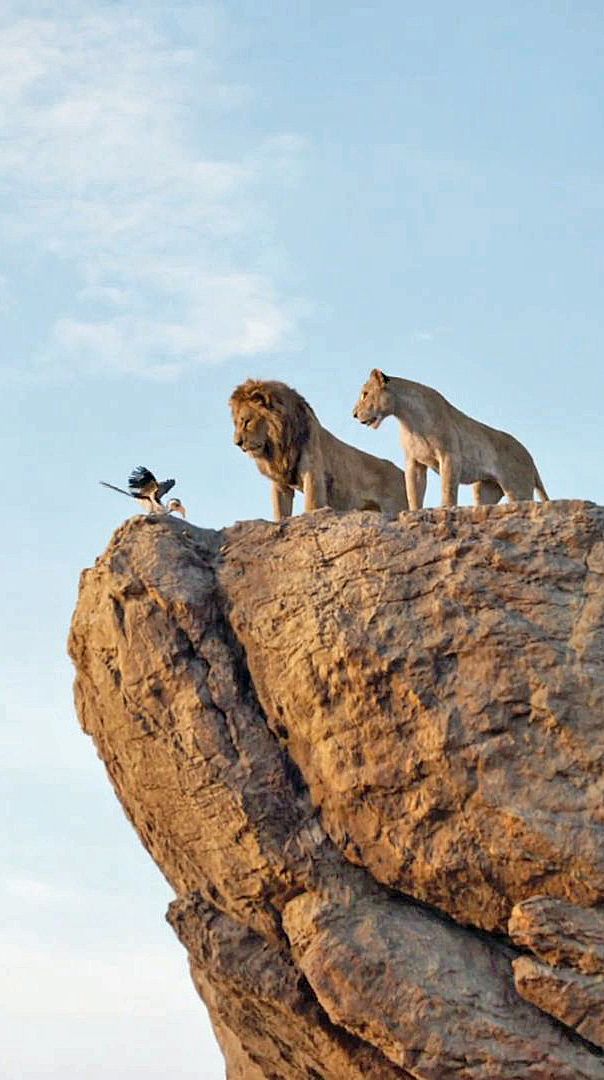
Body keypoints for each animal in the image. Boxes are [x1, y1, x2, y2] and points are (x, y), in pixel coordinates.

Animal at [230, 378, 408, 520]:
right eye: (236, 423)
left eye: (246, 421)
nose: (237, 442)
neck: (279, 446)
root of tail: (402, 473)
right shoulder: (280, 483)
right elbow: (280, 512)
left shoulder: (313, 473)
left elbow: (312, 505)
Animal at [353, 369, 549, 510]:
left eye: (365, 394)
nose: (354, 414)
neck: (408, 419)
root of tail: (529, 457)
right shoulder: (414, 462)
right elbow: (413, 492)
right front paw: (414, 511)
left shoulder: (450, 456)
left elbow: (448, 487)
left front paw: (446, 508)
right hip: (485, 489)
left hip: (517, 487)